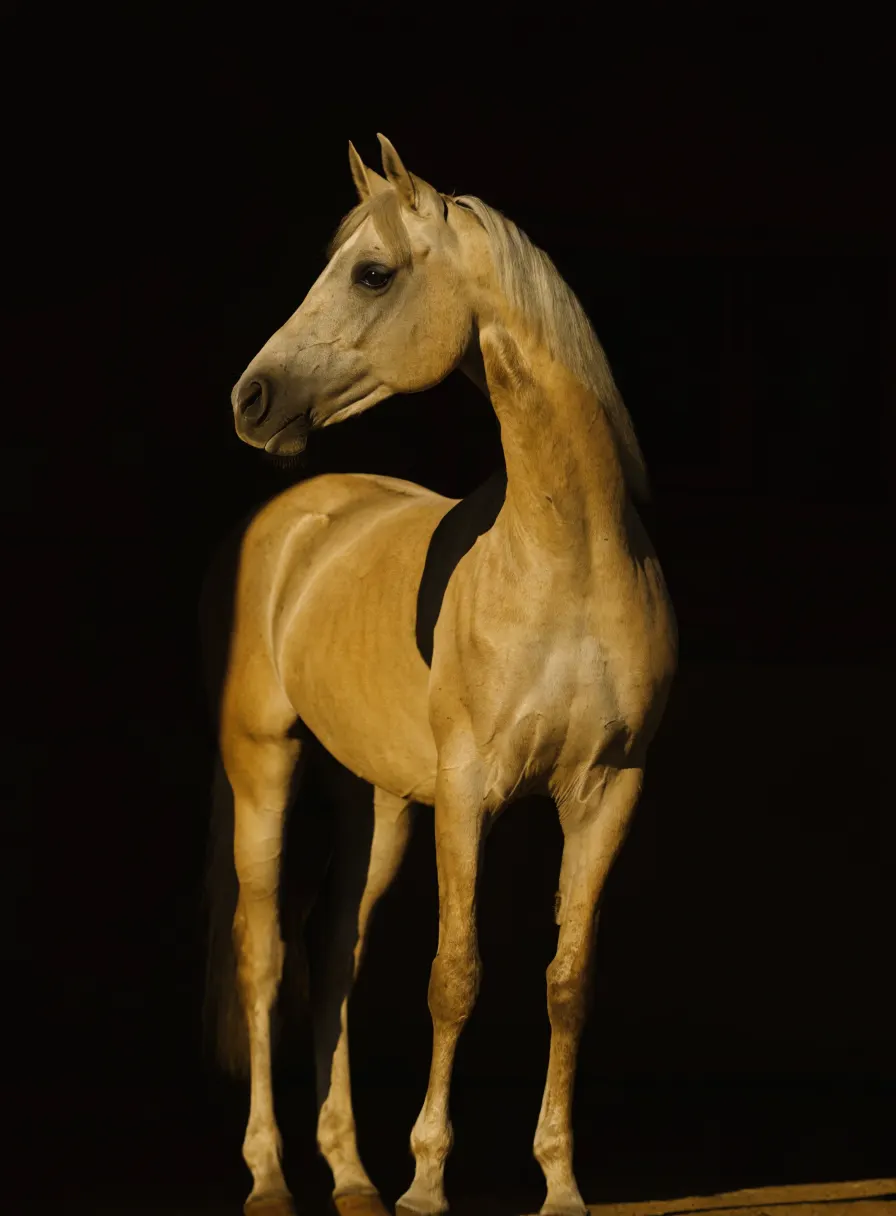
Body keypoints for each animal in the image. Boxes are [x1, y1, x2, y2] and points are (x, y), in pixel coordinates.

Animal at [202, 134, 678, 1216]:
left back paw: (349, 1177)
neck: (568, 560)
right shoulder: (471, 791)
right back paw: (269, 1176)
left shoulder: (608, 793)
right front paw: (427, 1181)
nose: (251, 400)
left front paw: (559, 1183)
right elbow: (454, 976)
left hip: (375, 801)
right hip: (266, 768)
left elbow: (566, 981)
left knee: (332, 957)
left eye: (371, 273)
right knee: (264, 954)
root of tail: (301, 514)